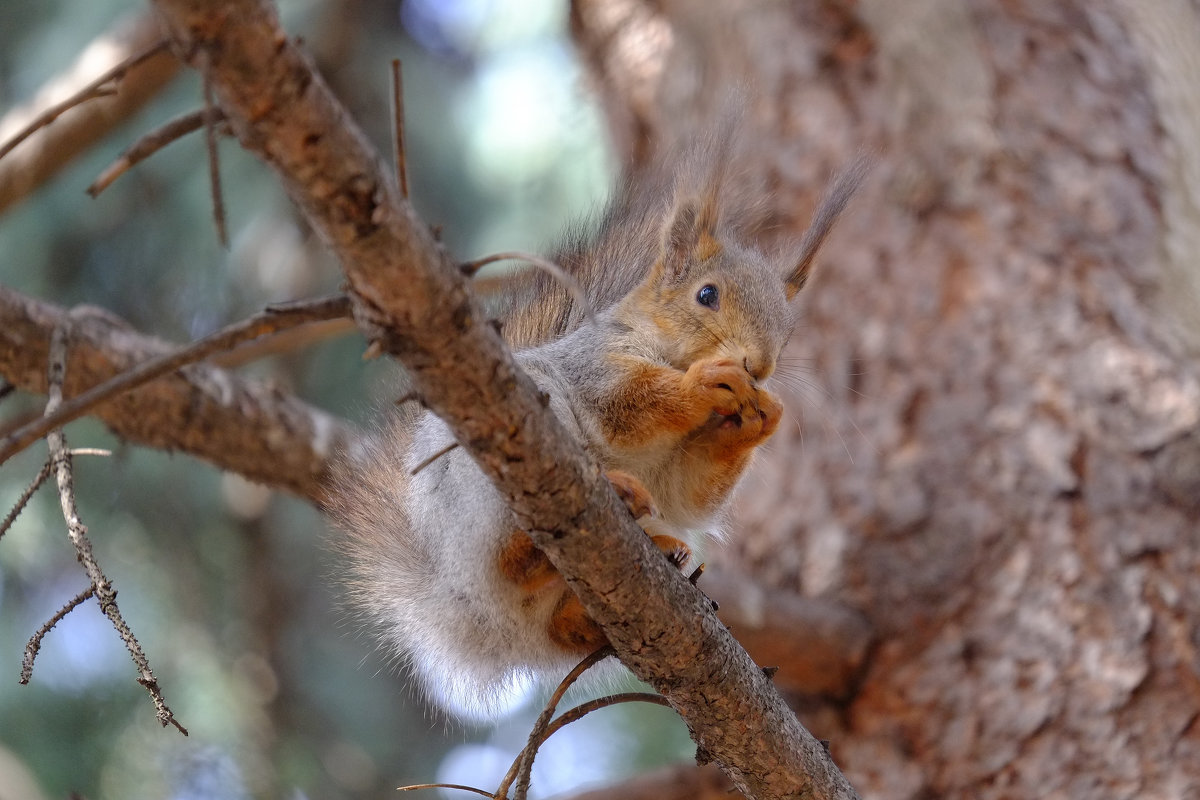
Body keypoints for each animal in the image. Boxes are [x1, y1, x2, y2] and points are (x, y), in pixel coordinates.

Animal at [328, 131, 864, 719]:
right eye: (706, 295)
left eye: (787, 331)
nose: (759, 367)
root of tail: (460, 607)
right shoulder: (592, 368)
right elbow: (626, 402)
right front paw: (702, 385)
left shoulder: (683, 470)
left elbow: (691, 492)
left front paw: (762, 418)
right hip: (487, 491)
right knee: (509, 560)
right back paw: (588, 511)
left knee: (564, 626)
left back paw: (652, 556)